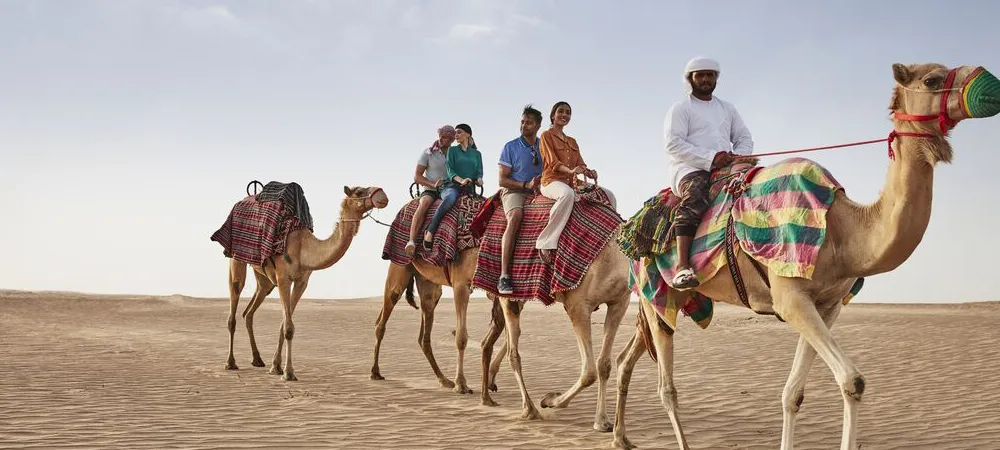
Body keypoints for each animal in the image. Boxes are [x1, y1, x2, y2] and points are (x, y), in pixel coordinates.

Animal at [222, 185, 389, 381]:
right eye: (359, 192)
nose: (383, 196)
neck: (304, 248)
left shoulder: (302, 282)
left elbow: (284, 323)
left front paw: (276, 367)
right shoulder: (283, 278)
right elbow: (288, 327)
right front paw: (288, 373)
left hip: (264, 279)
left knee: (249, 312)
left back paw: (257, 359)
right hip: (236, 258)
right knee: (234, 302)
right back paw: (230, 363)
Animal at [611, 62, 1000, 450]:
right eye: (932, 80)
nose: (989, 82)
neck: (844, 230)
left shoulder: (827, 305)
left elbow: (793, 393)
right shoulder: (791, 298)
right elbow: (852, 380)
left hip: (662, 303)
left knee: (628, 358)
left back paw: (620, 437)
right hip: (655, 292)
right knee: (666, 388)